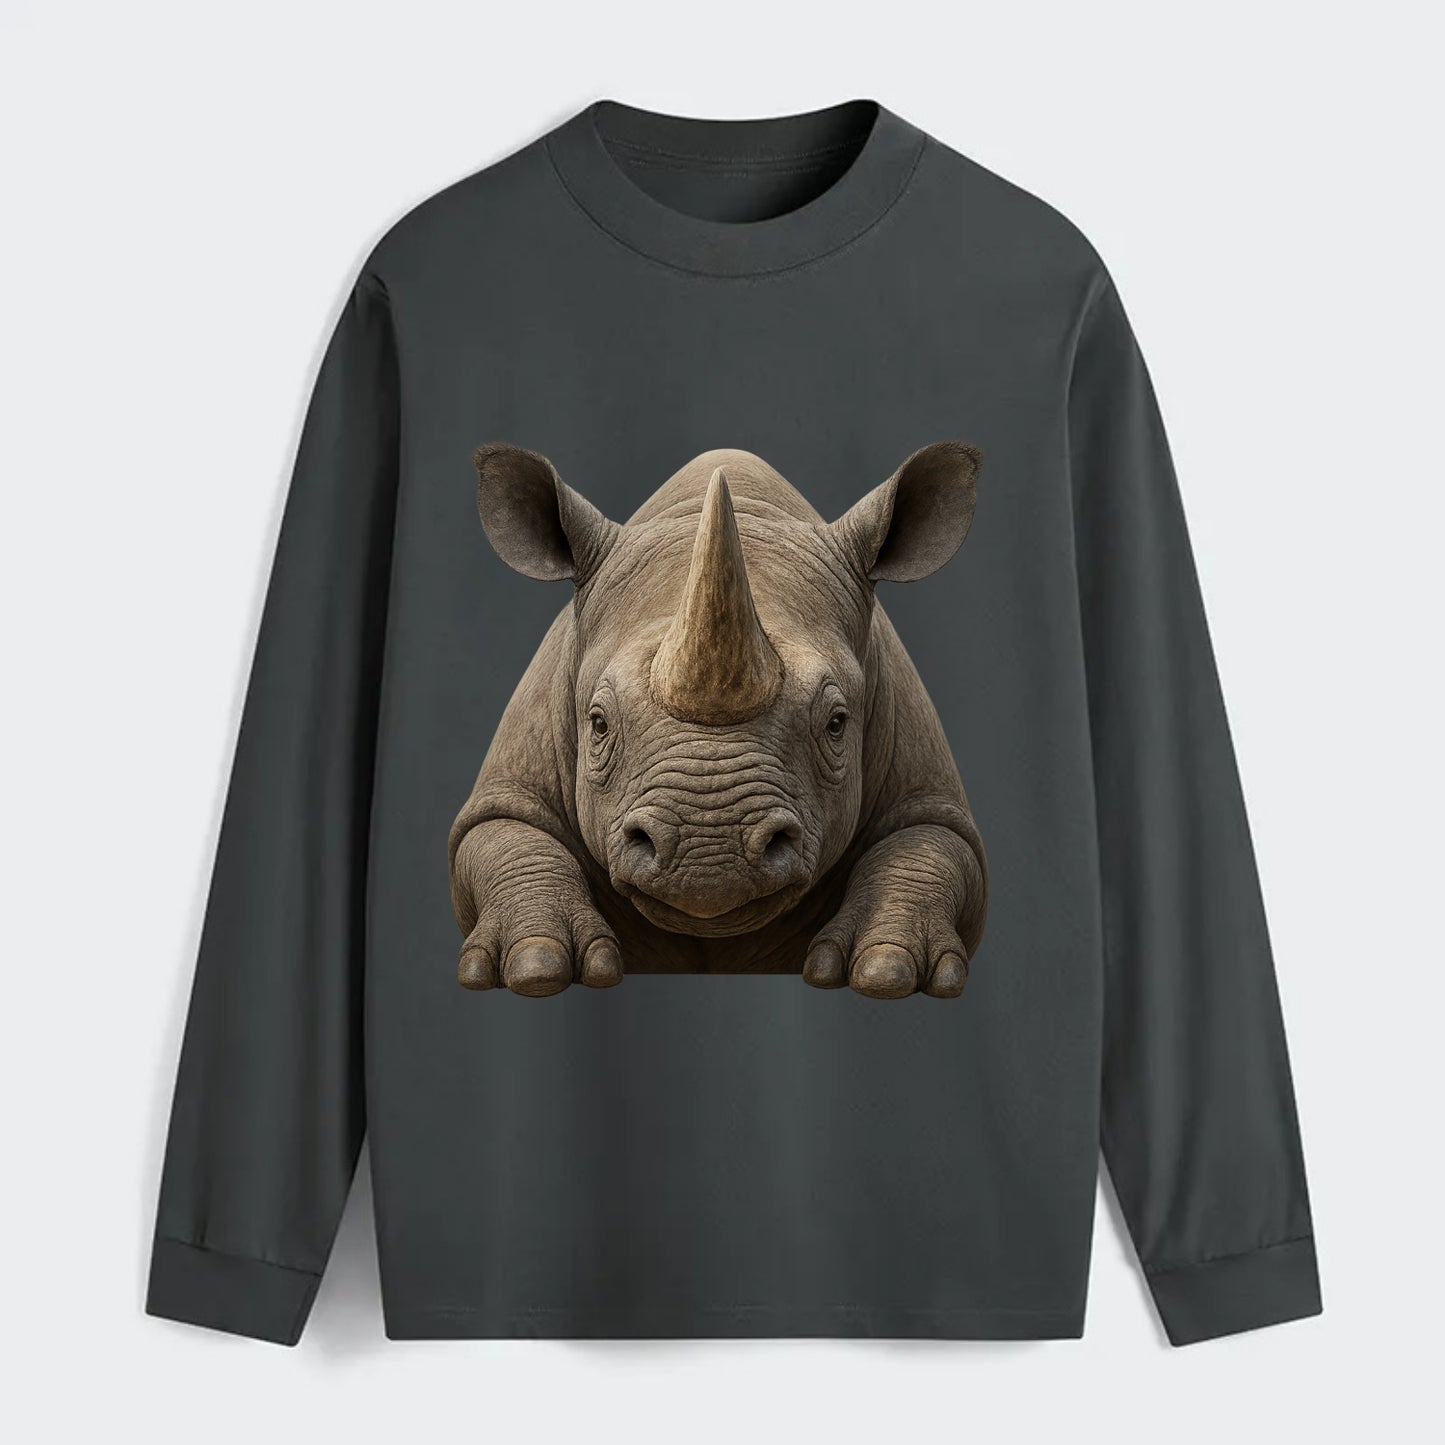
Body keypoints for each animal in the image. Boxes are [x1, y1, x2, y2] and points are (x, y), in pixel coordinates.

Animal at [447, 443, 988, 1000]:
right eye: (597, 724)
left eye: (837, 723)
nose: (709, 855)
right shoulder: (511, 784)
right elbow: (504, 834)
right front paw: (536, 966)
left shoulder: (925, 787)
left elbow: (929, 844)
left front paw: (886, 969)